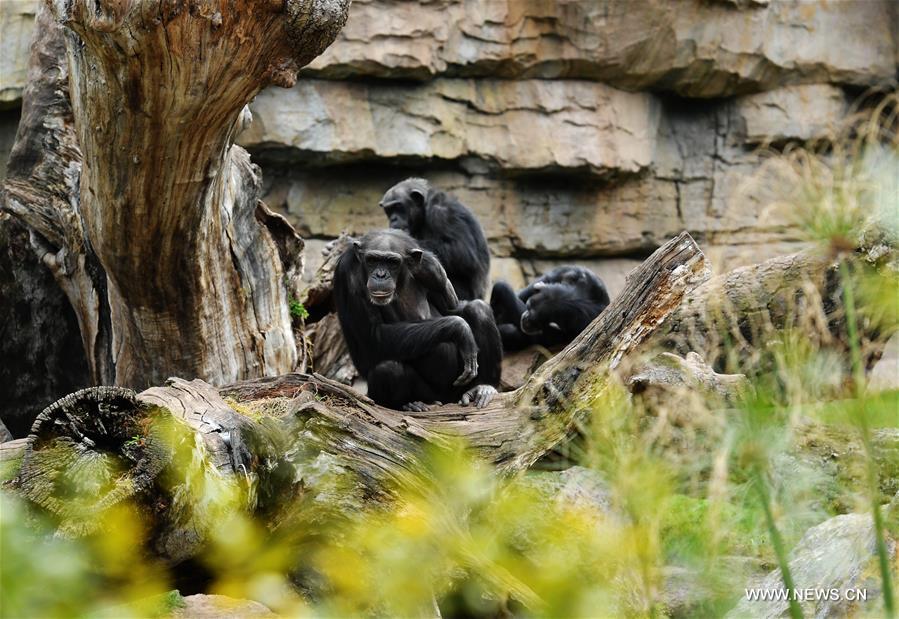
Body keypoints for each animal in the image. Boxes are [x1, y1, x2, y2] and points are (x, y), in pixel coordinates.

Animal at [334, 228, 502, 412]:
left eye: (392, 262)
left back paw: (482, 387)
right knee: (388, 369)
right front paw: (460, 328)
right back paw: (410, 404)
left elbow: (453, 306)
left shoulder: (431, 272)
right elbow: (374, 334)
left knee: (478, 309)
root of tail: (447, 399)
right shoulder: (349, 274)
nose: (380, 275)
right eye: (372, 260)